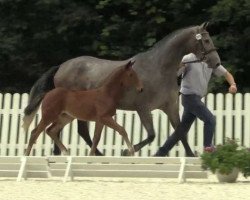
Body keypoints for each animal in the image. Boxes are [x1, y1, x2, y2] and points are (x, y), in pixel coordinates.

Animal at [22, 22, 220, 156]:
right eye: (206, 40)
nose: (216, 63)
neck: (159, 68)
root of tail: (61, 67)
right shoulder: (143, 109)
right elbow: (151, 135)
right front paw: (127, 151)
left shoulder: (170, 107)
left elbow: (180, 132)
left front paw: (190, 156)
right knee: (75, 131)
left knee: (63, 131)